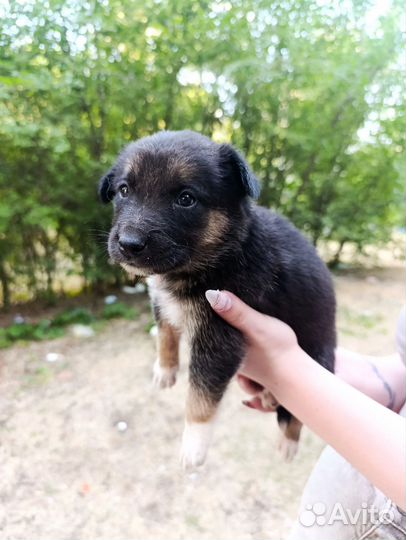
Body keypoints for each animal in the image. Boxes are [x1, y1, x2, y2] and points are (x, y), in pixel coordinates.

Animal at [99, 130, 336, 468]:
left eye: (186, 199)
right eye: (123, 190)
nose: (129, 244)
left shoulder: (219, 338)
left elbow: (200, 396)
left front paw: (193, 446)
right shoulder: (162, 302)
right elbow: (166, 333)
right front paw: (165, 370)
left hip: (319, 356)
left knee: (295, 414)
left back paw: (288, 443)